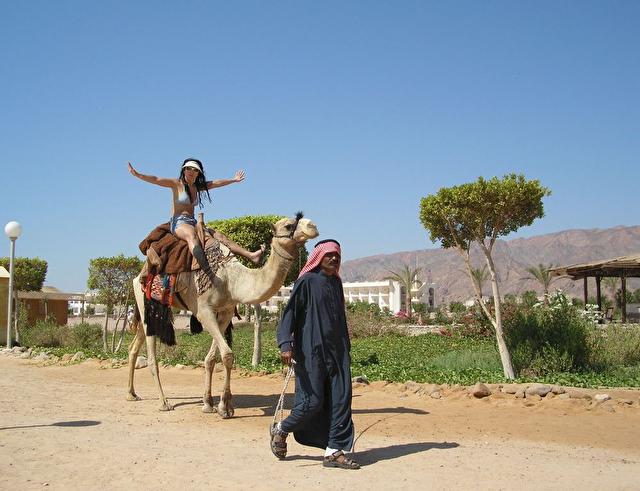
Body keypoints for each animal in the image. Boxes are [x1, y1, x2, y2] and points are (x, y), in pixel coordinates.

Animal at [125, 213, 318, 418]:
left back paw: (131, 394)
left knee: (134, 346)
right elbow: (227, 355)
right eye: (289, 225)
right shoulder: (204, 311)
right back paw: (164, 402)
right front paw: (224, 407)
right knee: (151, 356)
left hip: (147, 312)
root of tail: (139, 274)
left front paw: (209, 403)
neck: (231, 280)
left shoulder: (225, 311)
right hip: (145, 300)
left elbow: (211, 359)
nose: (313, 226)